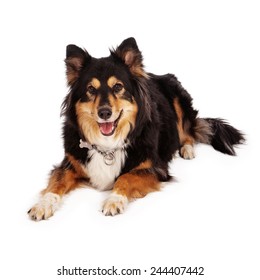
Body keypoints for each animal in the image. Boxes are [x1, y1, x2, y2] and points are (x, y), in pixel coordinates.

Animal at [27, 37, 245, 221]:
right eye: (91, 89)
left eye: (118, 87)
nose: (104, 112)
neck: (108, 145)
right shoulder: (69, 164)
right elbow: (55, 184)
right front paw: (43, 205)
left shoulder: (155, 168)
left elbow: (126, 177)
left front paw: (114, 200)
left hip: (178, 99)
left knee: (188, 132)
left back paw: (187, 149)